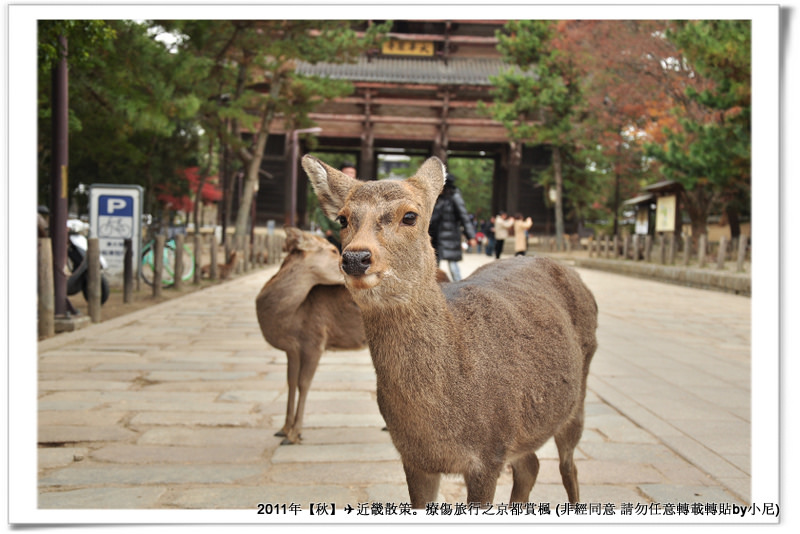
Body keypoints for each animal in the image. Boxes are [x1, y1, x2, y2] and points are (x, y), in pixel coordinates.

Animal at [255, 228, 368, 446]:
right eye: (333, 250)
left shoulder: (314, 341)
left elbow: (304, 383)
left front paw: (294, 435)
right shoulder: (292, 349)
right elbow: (290, 382)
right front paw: (283, 429)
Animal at [304, 156, 596, 510]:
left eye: (410, 216)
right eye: (343, 218)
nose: (356, 258)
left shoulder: (490, 451)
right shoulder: (414, 458)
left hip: (576, 399)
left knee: (569, 467)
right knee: (531, 465)